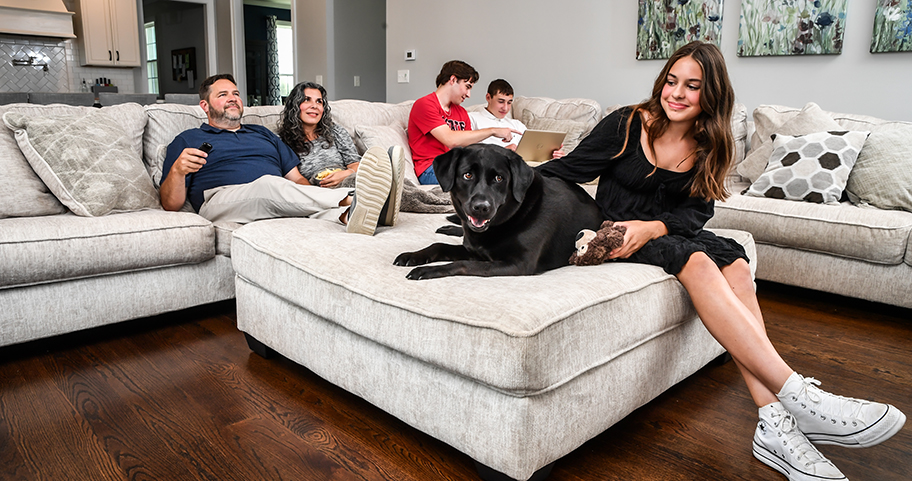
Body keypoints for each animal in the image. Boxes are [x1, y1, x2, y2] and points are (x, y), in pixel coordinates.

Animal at [394, 143, 604, 278]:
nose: (481, 207)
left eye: (499, 178)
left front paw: (427, 270)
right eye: (467, 175)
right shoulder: (473, 248)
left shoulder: (517, 264)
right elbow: (438, 245)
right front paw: (412, 256)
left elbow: (462, 264)